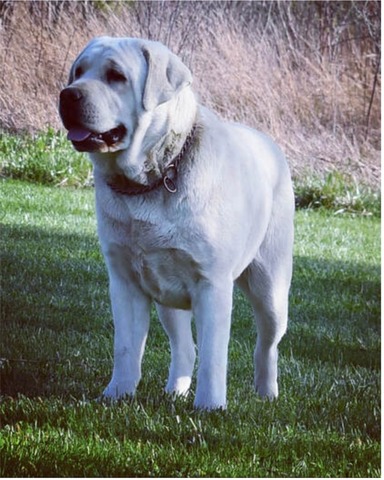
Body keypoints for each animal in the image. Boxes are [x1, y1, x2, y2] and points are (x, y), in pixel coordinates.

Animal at [59, 36, 294, 408]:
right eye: (79, 72)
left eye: (116, 76)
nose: (68, 95)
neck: (152, 179)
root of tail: (270, 144)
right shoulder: (125, 281)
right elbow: (126, 348)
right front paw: (117, 395)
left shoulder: (212, 285)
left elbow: (214, 356)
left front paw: (210, 407)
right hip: (167, 296)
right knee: (185, 346)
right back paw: (176, 390)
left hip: (270, 287)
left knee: (267, 345)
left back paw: (267, 394)